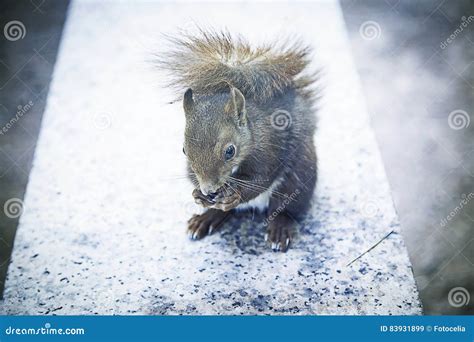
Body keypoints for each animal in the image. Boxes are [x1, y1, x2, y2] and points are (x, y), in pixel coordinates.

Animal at [159, 29, 318, 252]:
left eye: (230, 151)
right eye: (183, 150)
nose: (209, 190)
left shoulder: (269, 148)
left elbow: (261, 179)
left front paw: (235, 194)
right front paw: (198, 195)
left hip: (299, 177)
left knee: (286, 207)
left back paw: (280, 227)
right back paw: (207, 217)